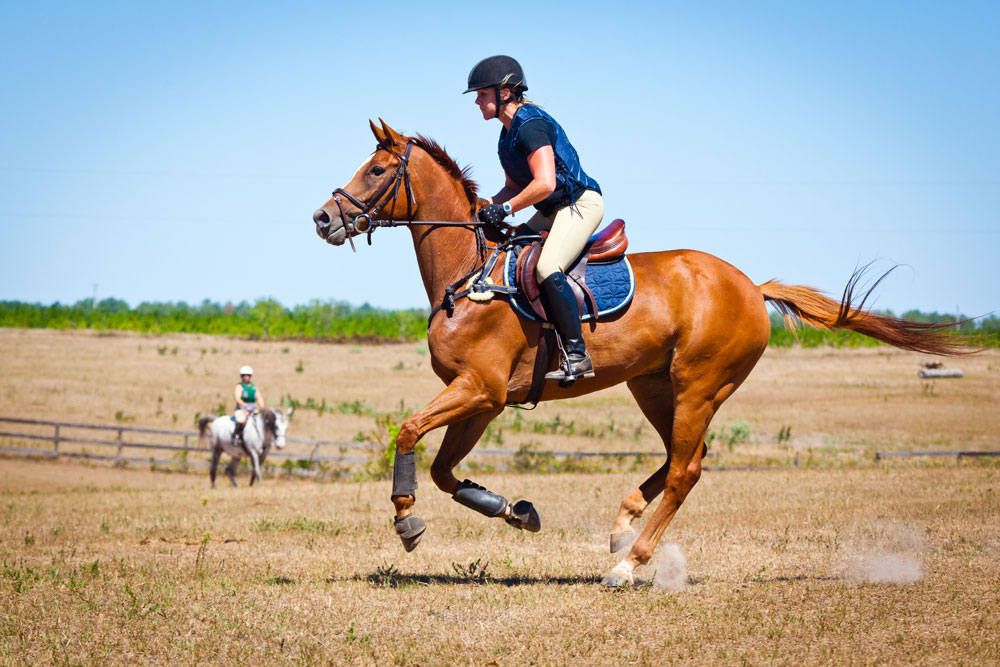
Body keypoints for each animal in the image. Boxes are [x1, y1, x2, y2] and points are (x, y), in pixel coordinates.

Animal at [314, 121, 968, 588]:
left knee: (686, 469)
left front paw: (406, 521)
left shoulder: (481, 389)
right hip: (653, 385)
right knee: (683, 457)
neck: (469, 274)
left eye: (377, 169)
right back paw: (622, 525)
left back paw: (629, 564)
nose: (323, 218)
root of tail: (750, 286)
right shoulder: (483, 400)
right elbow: (447, 472)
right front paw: (516, 511)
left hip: (699, 384)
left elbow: (408, 433)